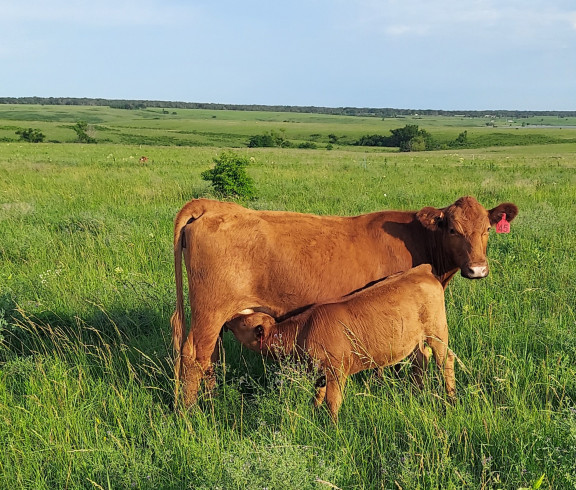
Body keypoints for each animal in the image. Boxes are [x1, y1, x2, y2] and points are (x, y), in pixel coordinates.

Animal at [225, 266, 454, 420]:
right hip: (414, 338)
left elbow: (332, 401)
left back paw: (450, 397)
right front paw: (314, 414)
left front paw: (332, 426)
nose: (228, 319)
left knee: (445, 361)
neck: (304, 329)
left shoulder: (336, 369)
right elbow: (317, 396)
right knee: (422, 357)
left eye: (243, 321)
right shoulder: (319, 371)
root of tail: (421, 271)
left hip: (437, 331)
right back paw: (417, 392)